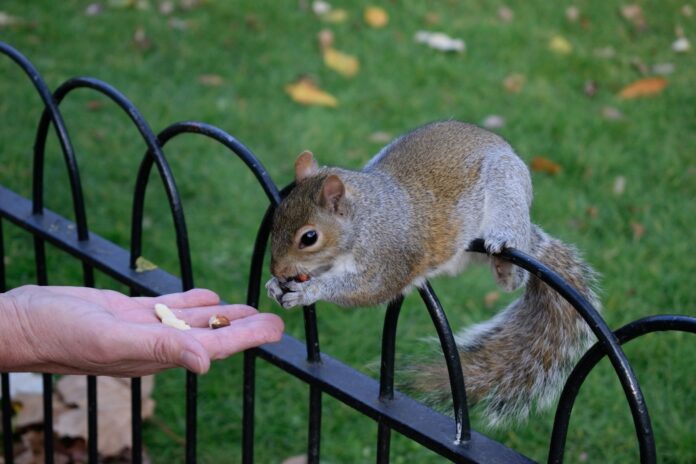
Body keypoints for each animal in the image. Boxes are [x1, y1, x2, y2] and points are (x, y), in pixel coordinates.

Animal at [265, 120, 600, 427]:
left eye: (309, 238)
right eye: (276, 218)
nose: (277, 269)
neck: (365, 220)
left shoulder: (390, 257)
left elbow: (371, 288)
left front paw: (309, 291)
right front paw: (274, 285)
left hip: (508, 193)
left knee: (514, 272)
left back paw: (505, 263)